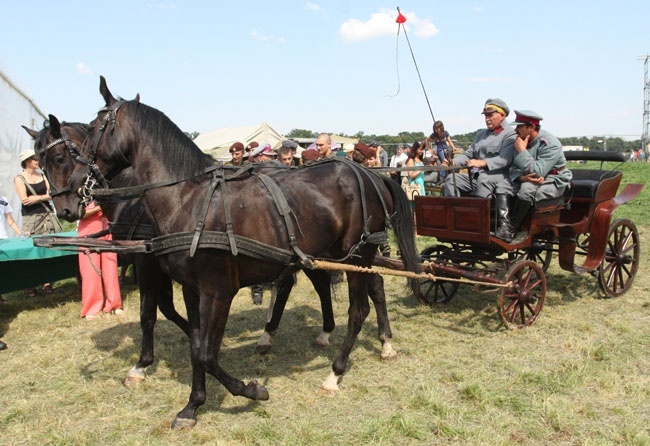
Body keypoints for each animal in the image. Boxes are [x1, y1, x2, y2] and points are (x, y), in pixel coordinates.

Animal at [66, 77, 420, 428]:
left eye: (94, 127)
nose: (74, 185)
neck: (190, 199)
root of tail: (371, 175)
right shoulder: (193, 290)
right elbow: (196, 346)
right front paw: (192, 406)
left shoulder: (219, 291)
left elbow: (208, 354)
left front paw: (251, 390)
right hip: (336, 256)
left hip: (358, 255)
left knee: (358, 310)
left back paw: (336, 372)